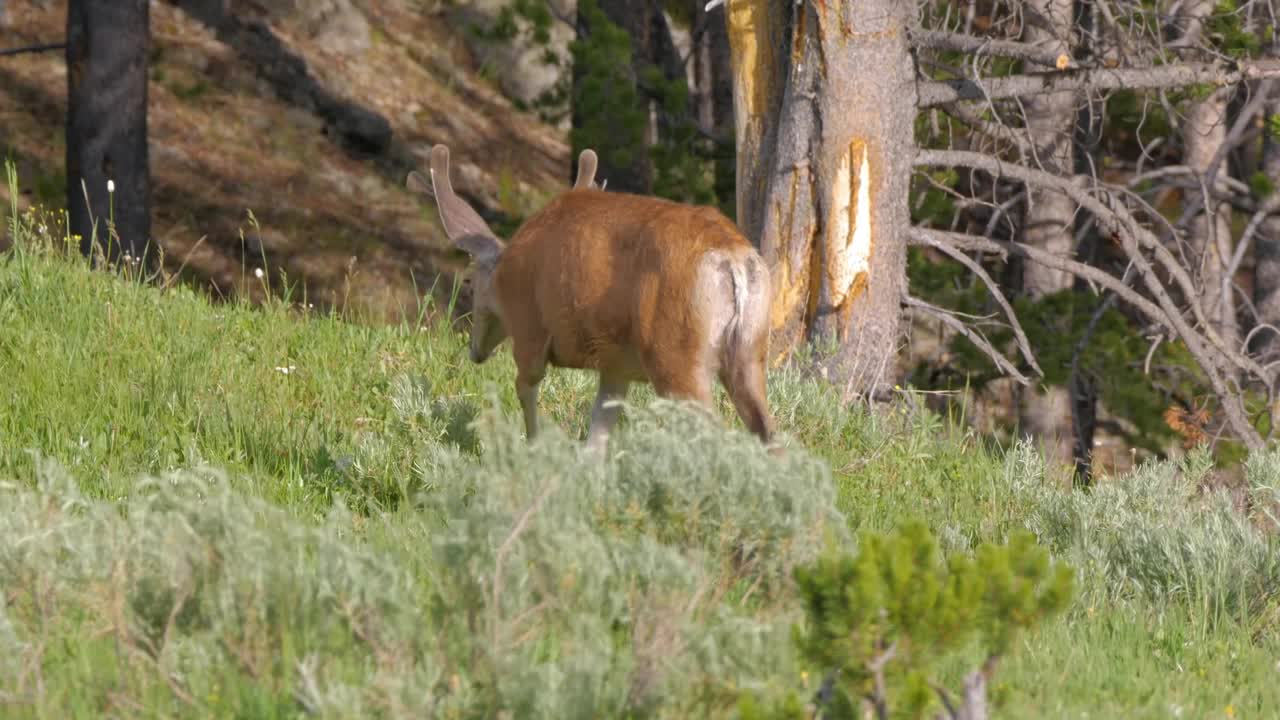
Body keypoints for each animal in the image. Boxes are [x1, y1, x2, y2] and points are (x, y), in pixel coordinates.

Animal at [404, 142, 773, 450]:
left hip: (676, 353)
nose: (475, 352)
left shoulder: (529, 332)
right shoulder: (615, 367)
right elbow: (597, 437)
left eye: (467, 281)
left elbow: (526, 389)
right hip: (749, 354)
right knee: (769, 436)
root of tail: (733, 259)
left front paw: (534, 448)